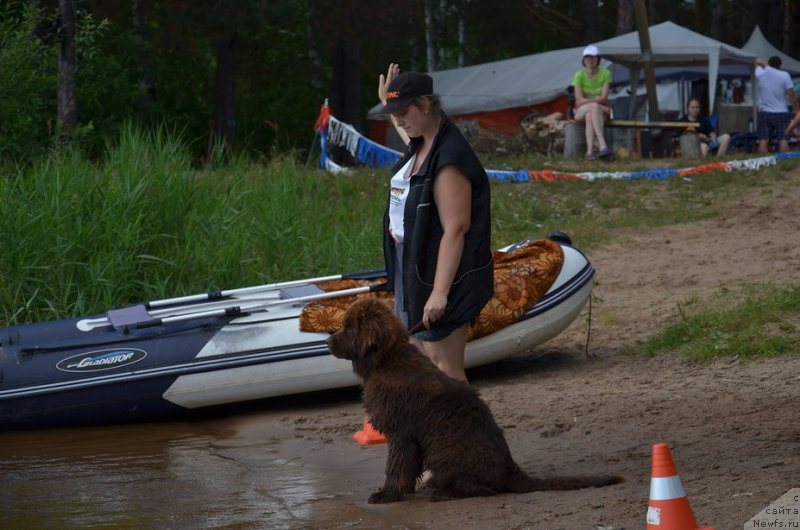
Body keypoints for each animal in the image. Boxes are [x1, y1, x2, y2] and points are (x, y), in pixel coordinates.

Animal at [326, 294, 624, 502]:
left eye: (349, 329)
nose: (327, 342)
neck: (387, 360)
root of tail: (510, 471)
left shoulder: (402, 434)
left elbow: (396, 467)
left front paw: (386, 495)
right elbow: (405, 468)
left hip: (447, 450)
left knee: (484, 488)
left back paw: (445, 493)